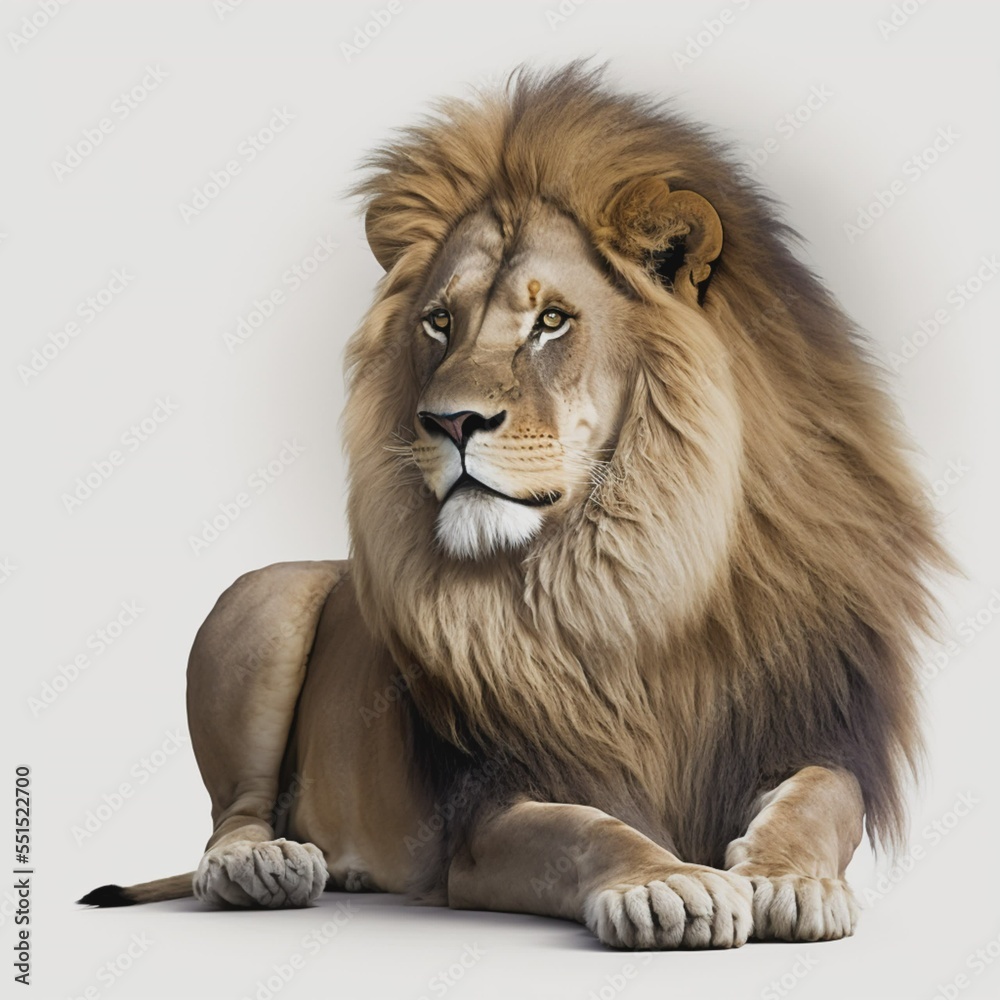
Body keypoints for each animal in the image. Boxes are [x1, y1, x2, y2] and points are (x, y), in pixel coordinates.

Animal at [79, 64, 949, 949]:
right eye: (440, 321)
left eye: (551, 320)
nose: (448, 421)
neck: (632, 573)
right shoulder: (488, 811)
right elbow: (589, 831)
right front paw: (668, 884)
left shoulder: (805, 732)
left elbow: (821, 798)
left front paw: (789, 879)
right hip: (266, 599)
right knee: (230, 819)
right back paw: (263, 865)